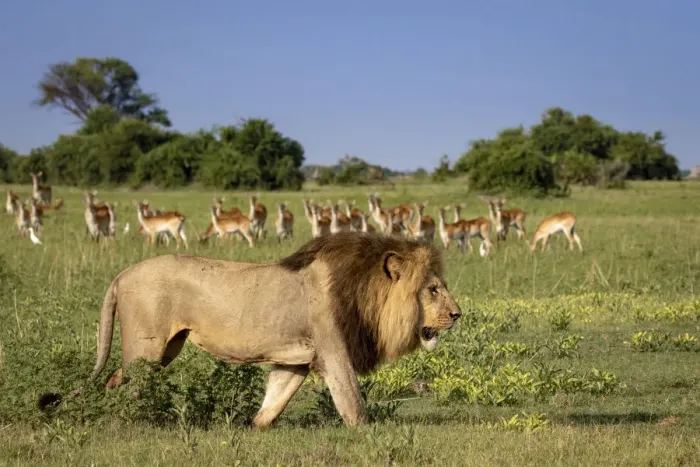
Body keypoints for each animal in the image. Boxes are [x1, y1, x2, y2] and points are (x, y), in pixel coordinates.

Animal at [39, 231, 462, 429]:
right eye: (433, 289)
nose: (458, 314)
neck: (364, 290)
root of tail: (121, 274)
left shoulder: (297, 359)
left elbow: (275, 399)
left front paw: (252, 428)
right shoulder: (334, 351)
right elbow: (353, 405)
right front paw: (370, 434)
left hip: (166, 348)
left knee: (115, 381)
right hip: (148, 350)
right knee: (128, 387)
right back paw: (130, 422)